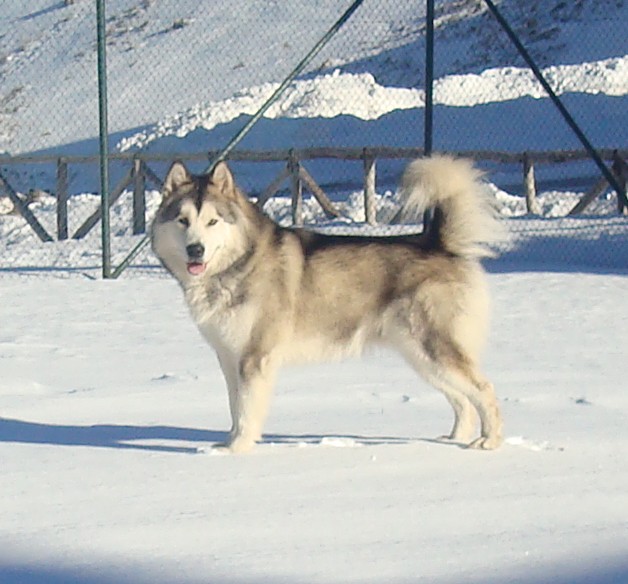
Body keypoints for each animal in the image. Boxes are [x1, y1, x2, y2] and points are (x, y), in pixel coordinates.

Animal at [152, 155, 506, 452]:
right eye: (182, 220)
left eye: (213, 221)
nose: (195, 250)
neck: (238, 264)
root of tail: (438, 243)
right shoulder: (229, 357)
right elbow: (234, 405)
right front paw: (226, 444)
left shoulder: (255, 357)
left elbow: (246, 410)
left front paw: (236, 449)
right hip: (422, 358)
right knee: (462, 399)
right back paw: (454, 438)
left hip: (434, 349)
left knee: (484, 389)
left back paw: (489, 441)